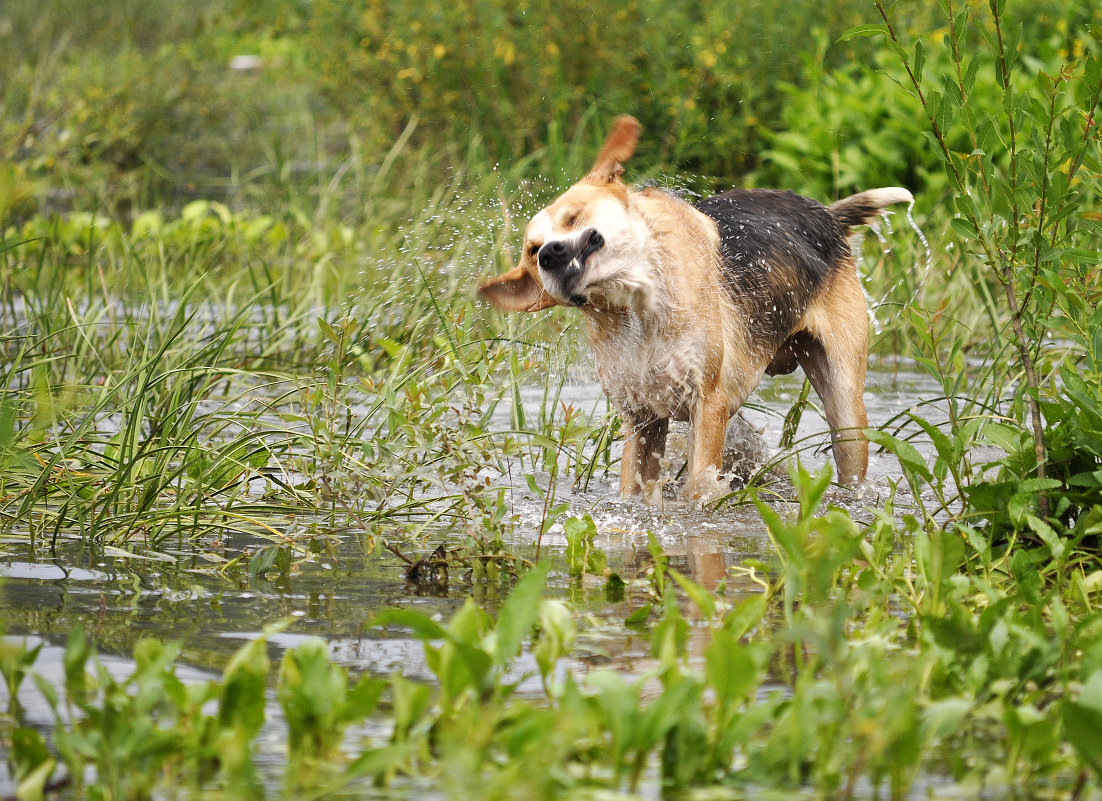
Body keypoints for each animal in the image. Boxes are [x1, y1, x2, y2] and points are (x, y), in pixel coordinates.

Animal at [480, 115, 912, 498]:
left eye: (573, 217)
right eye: (531, 250)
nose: (548, 254)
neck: (638, 312)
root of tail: (826, 215)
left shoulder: (708, 403)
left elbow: (699, 489)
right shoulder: (641, 418)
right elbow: (633, 490)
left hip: (846, 407)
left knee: (849, 444)